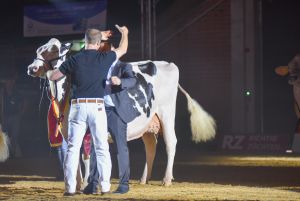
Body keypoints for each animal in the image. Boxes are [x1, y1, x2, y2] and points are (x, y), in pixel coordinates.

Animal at [27, 38, 216, 186]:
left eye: (53, 50)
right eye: (38, 50)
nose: (31, 68)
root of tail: (166, 63)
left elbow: (86, 156)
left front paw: (87, 182)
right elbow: (74, 155)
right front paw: (79, 183)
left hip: (167, 113)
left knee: (171, 142)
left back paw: (166, 179)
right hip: (147, 121)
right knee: (151, 146)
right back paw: (143, 179)